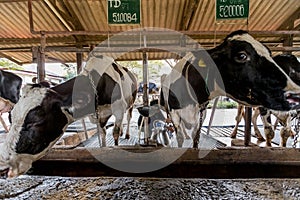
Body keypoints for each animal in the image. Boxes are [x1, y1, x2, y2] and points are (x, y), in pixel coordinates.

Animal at [0, 55, 138, 178]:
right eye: (10, 118)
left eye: (35, 122)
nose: (3, 165)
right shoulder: (97, 116)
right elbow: (102, 134)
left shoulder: (119, 109)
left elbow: (115, 134)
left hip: (131, 103)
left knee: (128, 118)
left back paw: (126, 134)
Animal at [162, 29, 300, 148]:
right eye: (242, 55)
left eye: (269, 54)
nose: (296, 95)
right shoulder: (174, 113)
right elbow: (179, 138)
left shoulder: (201, 114)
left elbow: (196, 139)